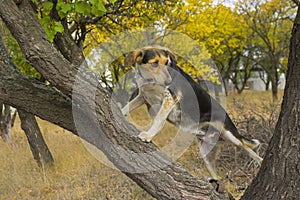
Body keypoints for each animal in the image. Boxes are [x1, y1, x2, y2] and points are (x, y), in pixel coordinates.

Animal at [120, 45, 262, 181]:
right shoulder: (143, 96)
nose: (169, 81)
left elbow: (158, 120)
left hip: (230, 135)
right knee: (217, 177)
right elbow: (127, 107)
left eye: (166, 63)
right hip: (206, 154)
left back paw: (259, 164)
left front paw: (148, 135)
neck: (149, 80)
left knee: (249, 150)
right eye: (154, 63)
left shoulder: (170, 99)